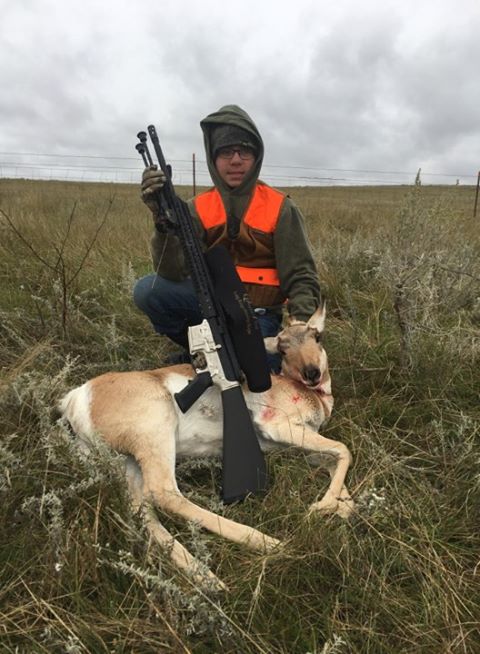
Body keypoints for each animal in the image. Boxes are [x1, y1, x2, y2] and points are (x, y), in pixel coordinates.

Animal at [59, 306, 352, 588]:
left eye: (317, 337)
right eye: (282, 348)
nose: (312, 373)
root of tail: (76, 396)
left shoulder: (294, 446)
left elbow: (333, 460)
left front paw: (341, 505)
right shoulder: (280, 428)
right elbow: (344, 449)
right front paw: (321, 507)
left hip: (128, 463)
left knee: (143, 511)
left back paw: (207, 577)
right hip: (157, 435)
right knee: (163, 492)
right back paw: (266, 543)